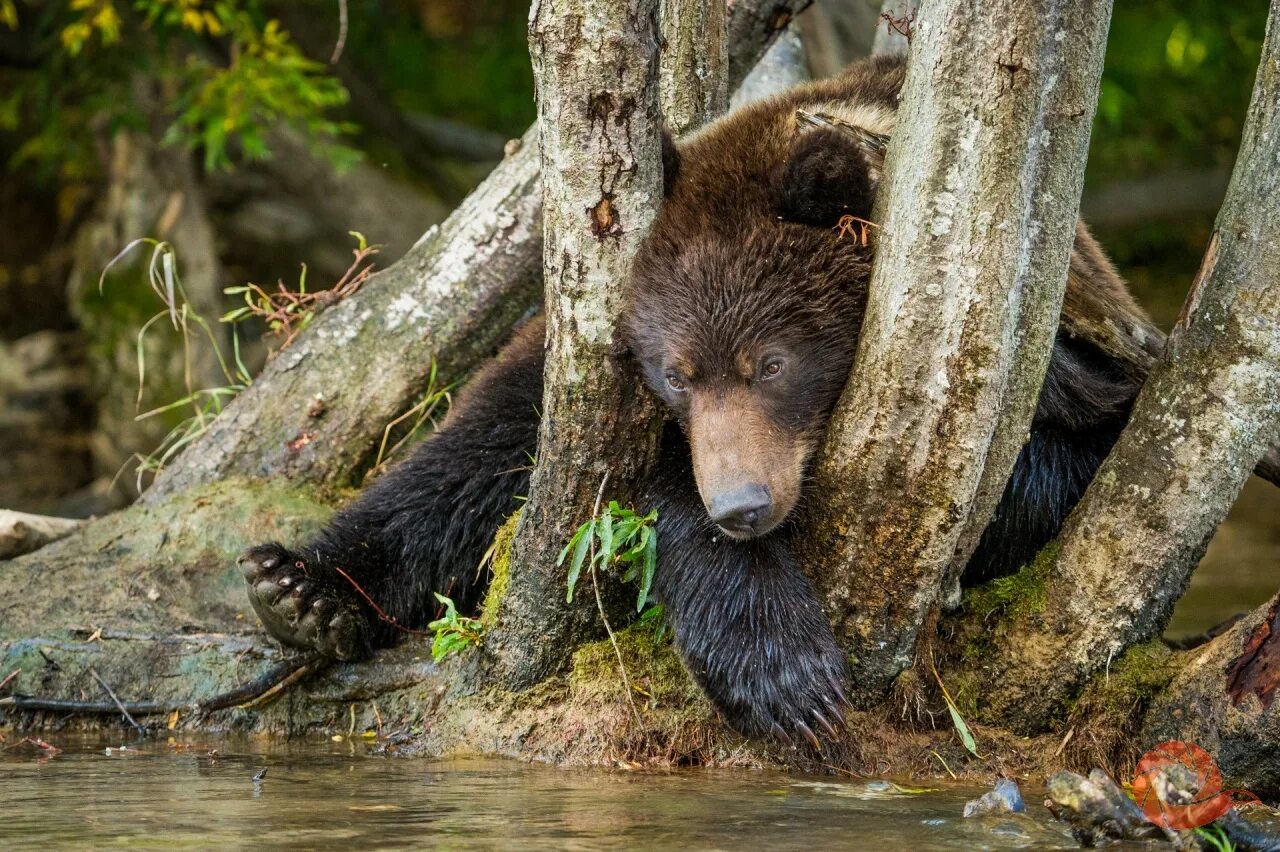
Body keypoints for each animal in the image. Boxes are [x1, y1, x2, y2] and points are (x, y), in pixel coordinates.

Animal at [238, 53, 1152, 741]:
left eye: (771, 362)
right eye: (675, 371)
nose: (742, 505)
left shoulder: (1078, 363)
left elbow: (1058, 472)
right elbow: (555, 462)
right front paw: (781, 671)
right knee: (463, 462)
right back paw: (300, 590)